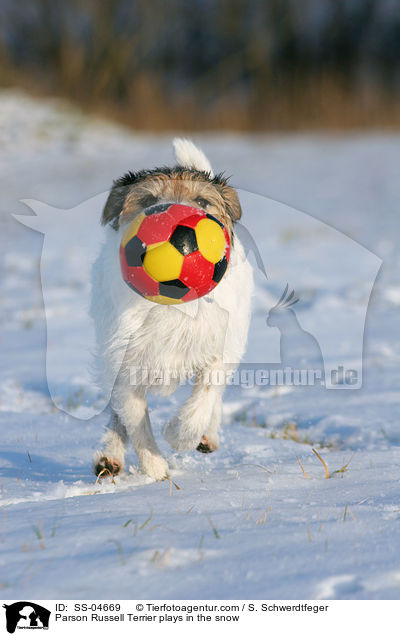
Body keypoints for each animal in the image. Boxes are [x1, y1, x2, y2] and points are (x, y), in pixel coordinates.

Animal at [92, 138, 252, 476]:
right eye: (148, 199)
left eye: (202, 201)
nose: (172, 216)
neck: (173, 305)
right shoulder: (124, 360)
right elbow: (133, 415)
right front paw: (154, 466)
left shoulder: (219, 348)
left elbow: (206, 393)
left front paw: (181, 435)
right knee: (118, 413)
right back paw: (109, 456)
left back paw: (207, 435)